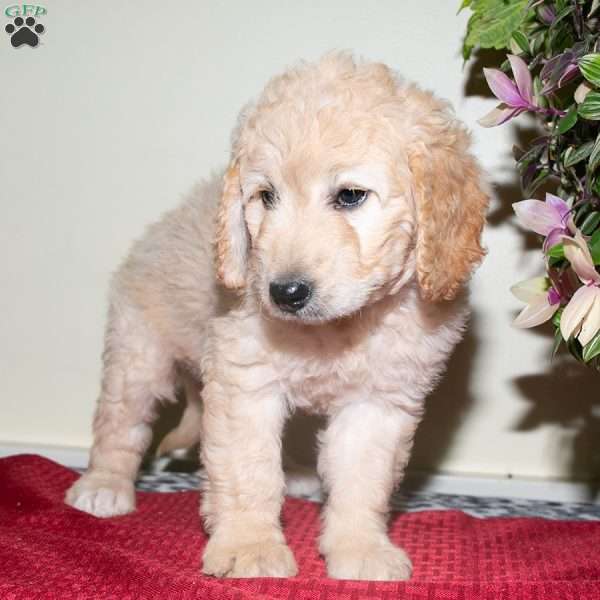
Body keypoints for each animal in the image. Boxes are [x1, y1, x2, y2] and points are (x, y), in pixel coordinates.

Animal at [65, 54, 488, 580]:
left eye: (350, 196)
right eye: (265, 196)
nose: (284, 293)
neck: (339, 328)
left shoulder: (379, 400)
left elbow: (361, 479)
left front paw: (361, 548)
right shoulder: (244, 382)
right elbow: (248, 471)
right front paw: (250, 546)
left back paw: (301, 477)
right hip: (139, 350)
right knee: (120, 420)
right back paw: (103, 485)